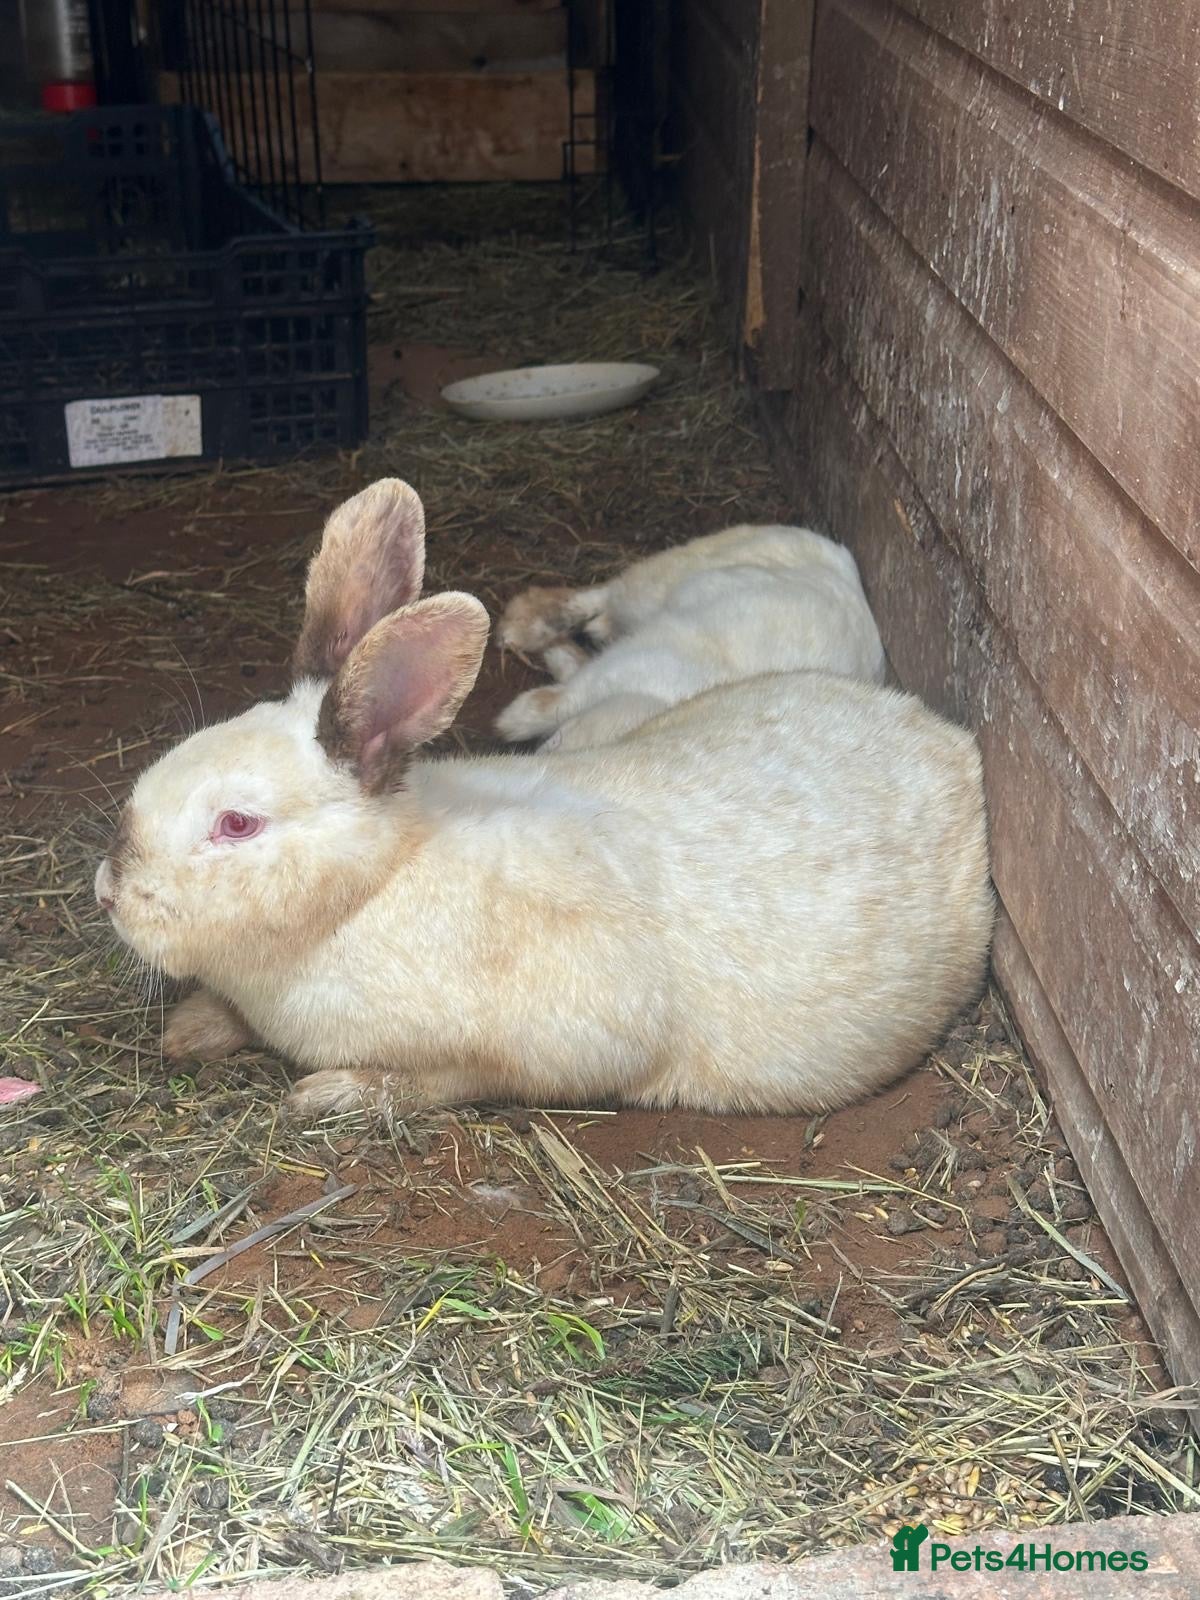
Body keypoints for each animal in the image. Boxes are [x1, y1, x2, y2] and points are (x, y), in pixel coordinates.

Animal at [495, 524, 887, 749]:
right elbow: (554, 702)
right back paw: (520, 627)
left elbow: (560, 695)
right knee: (597, 595)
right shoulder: (619, 668)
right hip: (655, 584)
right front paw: (510, 723)